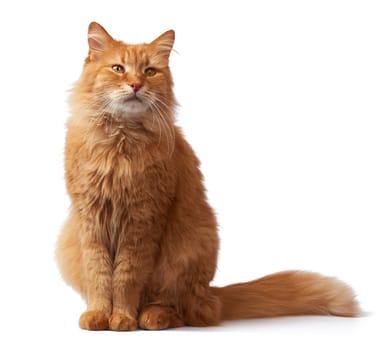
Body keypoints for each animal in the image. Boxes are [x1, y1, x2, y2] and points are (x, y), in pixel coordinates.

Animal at [55, 22, 358, 330]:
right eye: (118, 68)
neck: (120, 141)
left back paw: (153, 316)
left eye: (150, 72)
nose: (136, 85)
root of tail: (213, 294)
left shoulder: (142, 221)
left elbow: (126, 278)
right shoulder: (90, 221)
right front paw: (98, 315)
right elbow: (99, 276)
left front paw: (124, 318)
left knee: (184, 310)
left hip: (186, 250)